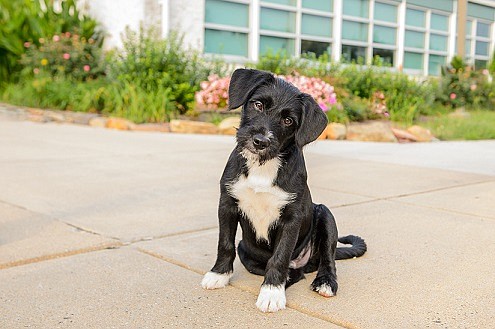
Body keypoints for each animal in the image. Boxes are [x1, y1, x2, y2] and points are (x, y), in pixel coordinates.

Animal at [202, 68, 368, 312]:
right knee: (293, 272)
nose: (260, 141)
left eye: (288, 120)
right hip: (246, 248)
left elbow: (279, 256)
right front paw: (219, 275)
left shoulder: (291, 218)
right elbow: (224, 243)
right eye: (258, 105)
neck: (263, 166)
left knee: (326, 259)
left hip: (325, 214)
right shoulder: (227, 204)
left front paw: (271, 292)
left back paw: (325, 282)